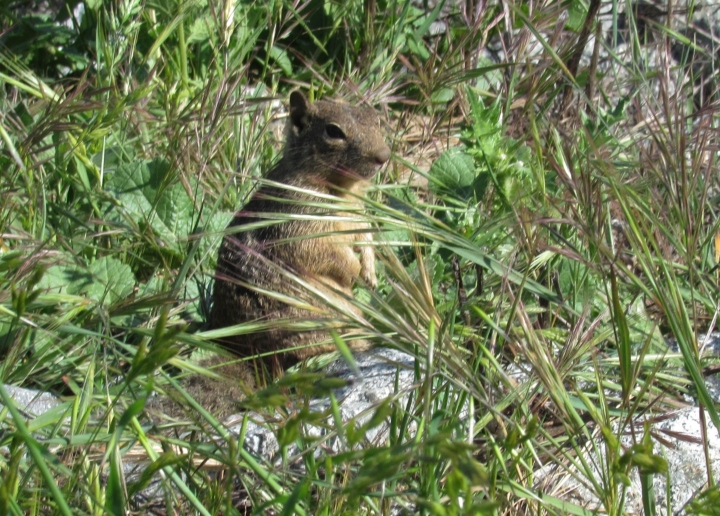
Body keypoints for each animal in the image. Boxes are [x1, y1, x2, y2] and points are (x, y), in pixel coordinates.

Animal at [210, 91, 391, 376]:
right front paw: (353, 272)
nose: (384, 156)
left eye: (375, 119)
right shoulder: (301, 225)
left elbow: (367, 237)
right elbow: (326, 253)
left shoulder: (357, 216)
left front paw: (370, 274)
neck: (340, 189)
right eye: (333, 131)